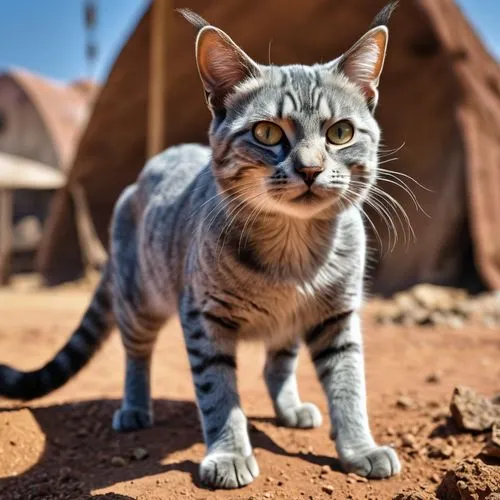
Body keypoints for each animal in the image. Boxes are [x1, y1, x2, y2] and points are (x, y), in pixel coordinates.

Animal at [0, 2, 402, 488]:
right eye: (267, 134)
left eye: (341, 133)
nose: (309, 169)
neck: (292, 253)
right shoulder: (203, 315)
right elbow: (219, 393)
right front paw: (229, 454)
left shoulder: (337, 315)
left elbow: (349, 386)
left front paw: (360, 448)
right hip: (139, 299)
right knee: (136, 355)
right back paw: (134, 408)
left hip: (285, 323)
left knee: (277, 362)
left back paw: (289, 408)